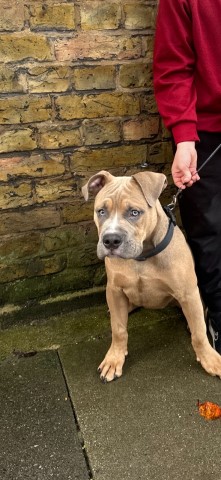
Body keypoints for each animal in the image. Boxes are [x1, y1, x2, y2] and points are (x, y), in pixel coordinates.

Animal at [82, 171, 221, 380]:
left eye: (134, 212)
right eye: (101, 212)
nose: (110, 240)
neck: (142, 256)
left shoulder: (188, 292)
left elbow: (199, 332)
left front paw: (210, 359)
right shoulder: (114, 289)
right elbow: (118, 329)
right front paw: (114, 359)